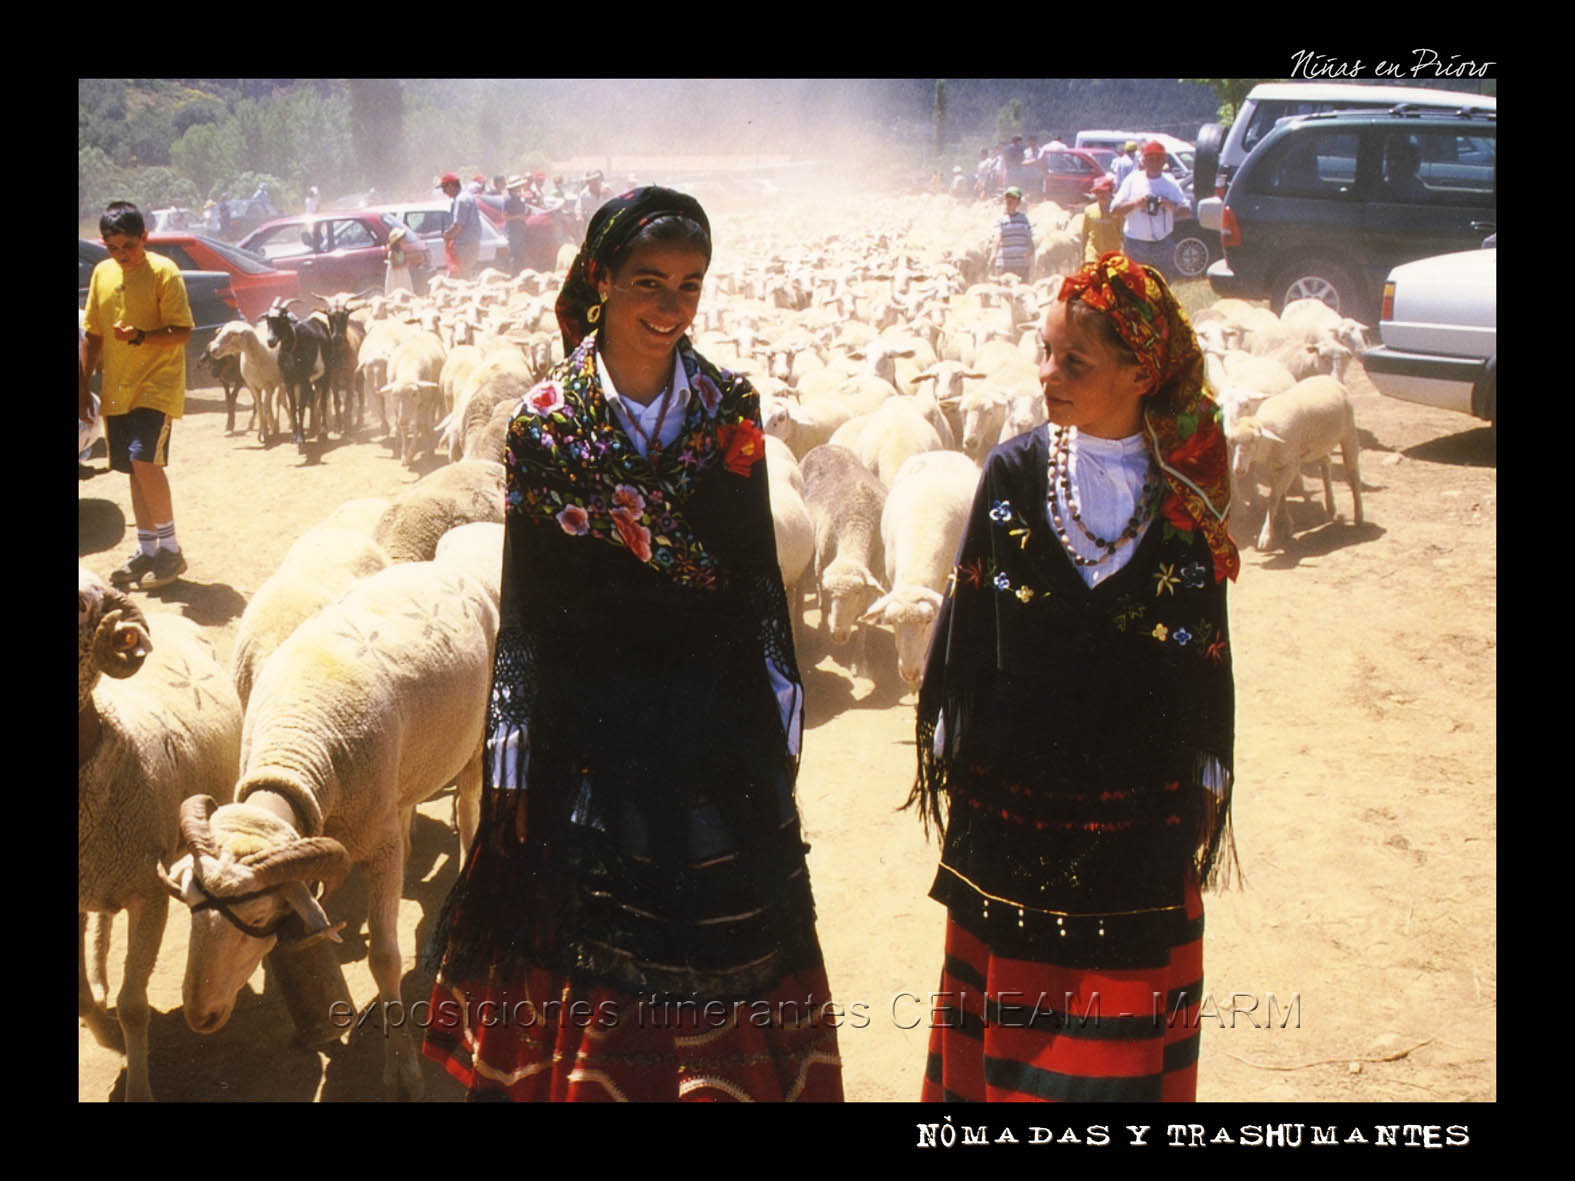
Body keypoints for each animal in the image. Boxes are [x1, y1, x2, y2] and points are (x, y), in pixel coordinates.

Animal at [78, 570, 239, 1108]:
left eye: (82, 605)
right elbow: (80, 996)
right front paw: (106, 1035)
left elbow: (133, 1005)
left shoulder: (149, 895)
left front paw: (138, 1085)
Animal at [159, 560, 491, 1108]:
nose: (199, 1016)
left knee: (468, 806)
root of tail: (439, 565)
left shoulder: (378, 845)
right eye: (190, 907)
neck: (294, 753)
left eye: (257, 915)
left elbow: (383, 957)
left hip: (475, 734)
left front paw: (402, 1070)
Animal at [1222, 374, 1360, 551]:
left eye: (1254, 440)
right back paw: (1331, 507)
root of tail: (1327, 377)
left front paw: (1266, 536)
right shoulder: (1277, 465)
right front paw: (1286, 525)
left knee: (1352, 472)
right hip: (1319, 445)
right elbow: (1281, 495)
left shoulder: (1290, 465)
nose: (1238, 469)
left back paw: (1359, 516)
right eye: (1232, 442)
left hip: (1349, 432)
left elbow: (1274, 497)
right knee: (1326, 464)